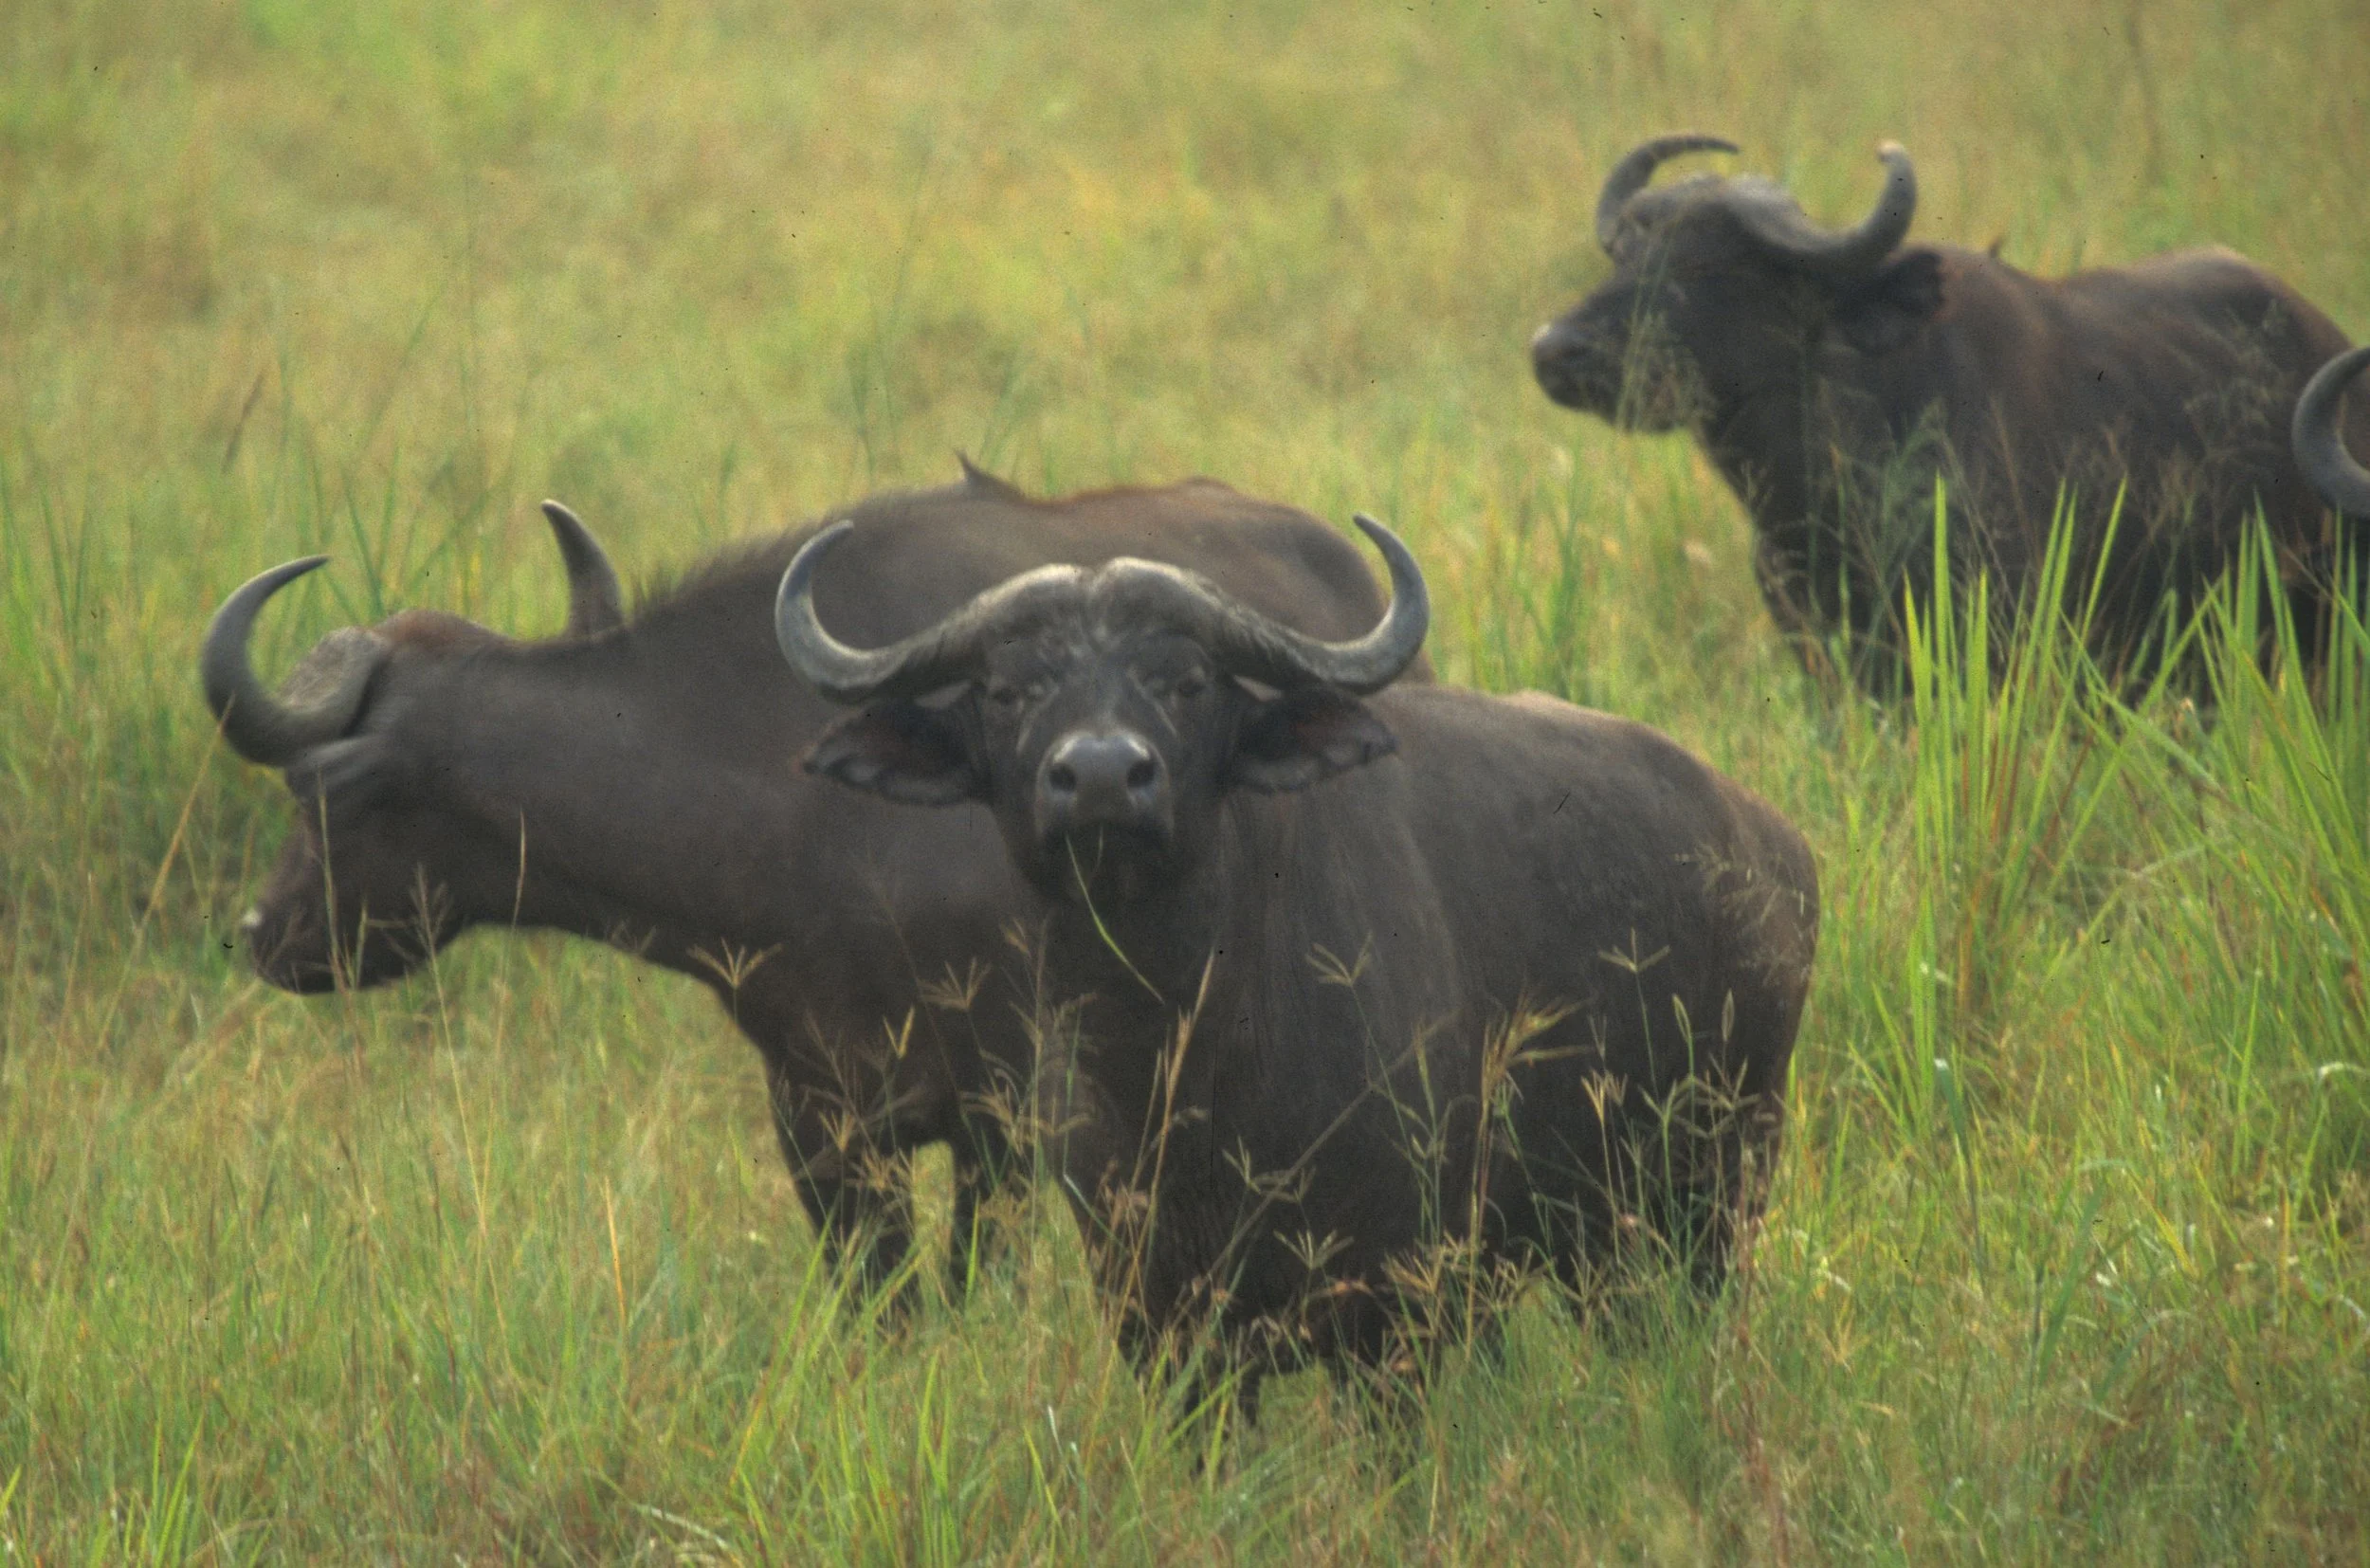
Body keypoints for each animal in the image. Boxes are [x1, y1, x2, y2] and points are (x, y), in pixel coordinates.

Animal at [774, 511, 1818, 1426]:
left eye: (1188, 680)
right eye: (1006, 689)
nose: (1104, 776)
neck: (1182, 1055)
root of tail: (1770, 846)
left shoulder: (1393, 1312)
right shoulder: (1157, 1320)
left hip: (1718, 1195)